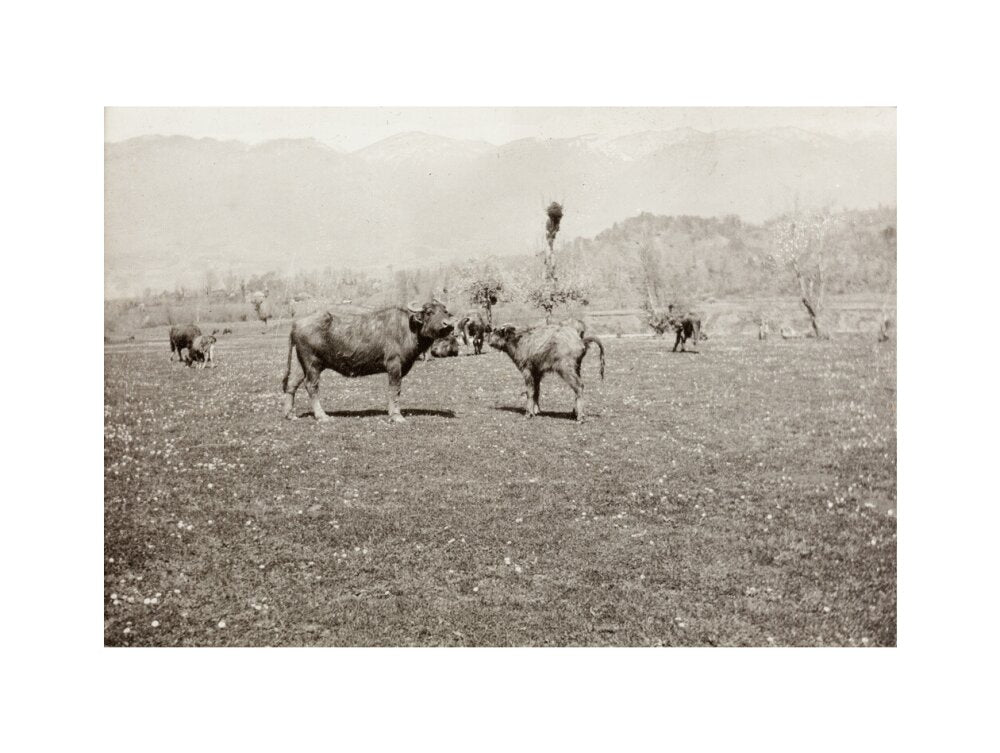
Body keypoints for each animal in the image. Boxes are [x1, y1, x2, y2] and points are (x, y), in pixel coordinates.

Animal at [281, 300, 456, 424]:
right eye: (429, 312)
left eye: (445, 312)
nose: (448, 325)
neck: (408, 328)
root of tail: (296, 324)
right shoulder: (394, 365)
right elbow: (395, 389)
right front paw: (396, 416)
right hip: (313, 363)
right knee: (311, 386)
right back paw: (322, 416)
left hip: (300, 363)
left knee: (292, 384)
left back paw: (290, 414)